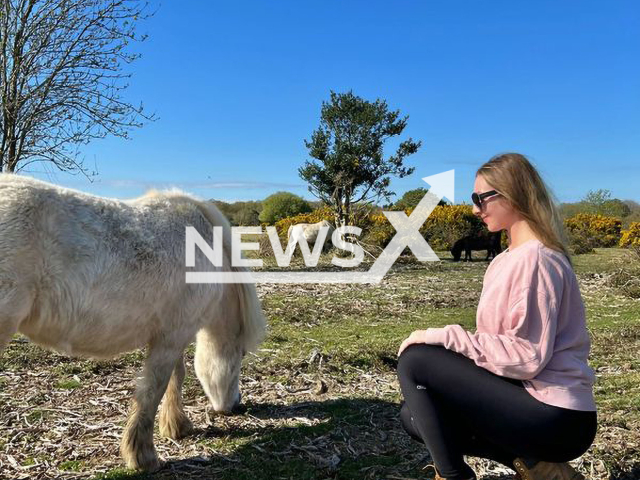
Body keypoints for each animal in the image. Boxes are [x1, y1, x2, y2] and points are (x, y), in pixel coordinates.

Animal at [0, 174, 266, 470]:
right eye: (241, 354)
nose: (236, 404)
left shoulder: (170, 334)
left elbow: (175, 376)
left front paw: (176, 426)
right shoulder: (173, 337)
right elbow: (154, 389)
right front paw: (143, 455)